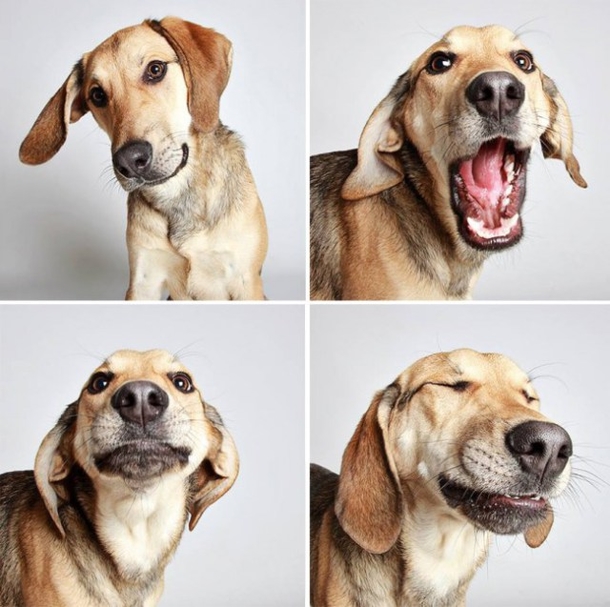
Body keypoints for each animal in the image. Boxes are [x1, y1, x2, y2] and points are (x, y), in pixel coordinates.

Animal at [19, 17, 266, 302]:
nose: (129, 160)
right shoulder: (143, 279)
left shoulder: (244, 280)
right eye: (97, 95)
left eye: (155, 69)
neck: (178, 197)